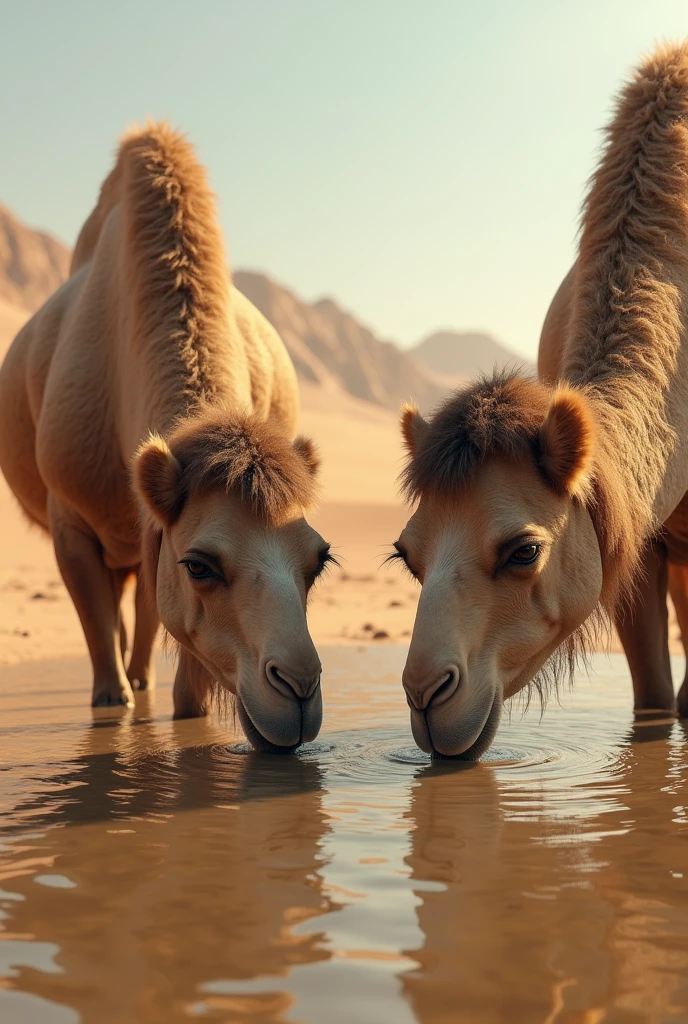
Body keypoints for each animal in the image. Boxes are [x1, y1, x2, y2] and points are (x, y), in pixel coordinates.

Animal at [0, 121, 333, 753]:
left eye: (319, 559)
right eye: (200, 565)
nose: (299, 689)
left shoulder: (158, 531)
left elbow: (184, 670)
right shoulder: (71, 520)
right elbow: (103, 655)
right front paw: (113, 705)